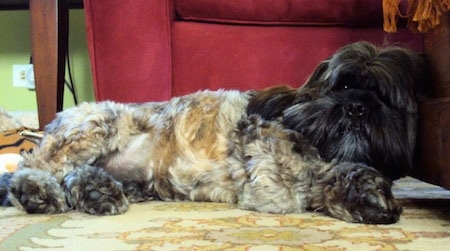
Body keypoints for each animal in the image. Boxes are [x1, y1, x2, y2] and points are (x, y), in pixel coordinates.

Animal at [0, 41, 428, 224]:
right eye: (342, 85)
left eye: (384, 99)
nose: (357, 106)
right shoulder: (268, 163)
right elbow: (298, 187)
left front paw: (370, 196)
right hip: (96, 123)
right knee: (34, 165)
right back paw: (37, 191)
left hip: (131, 176)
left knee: (75, 176)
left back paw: (95, 190)